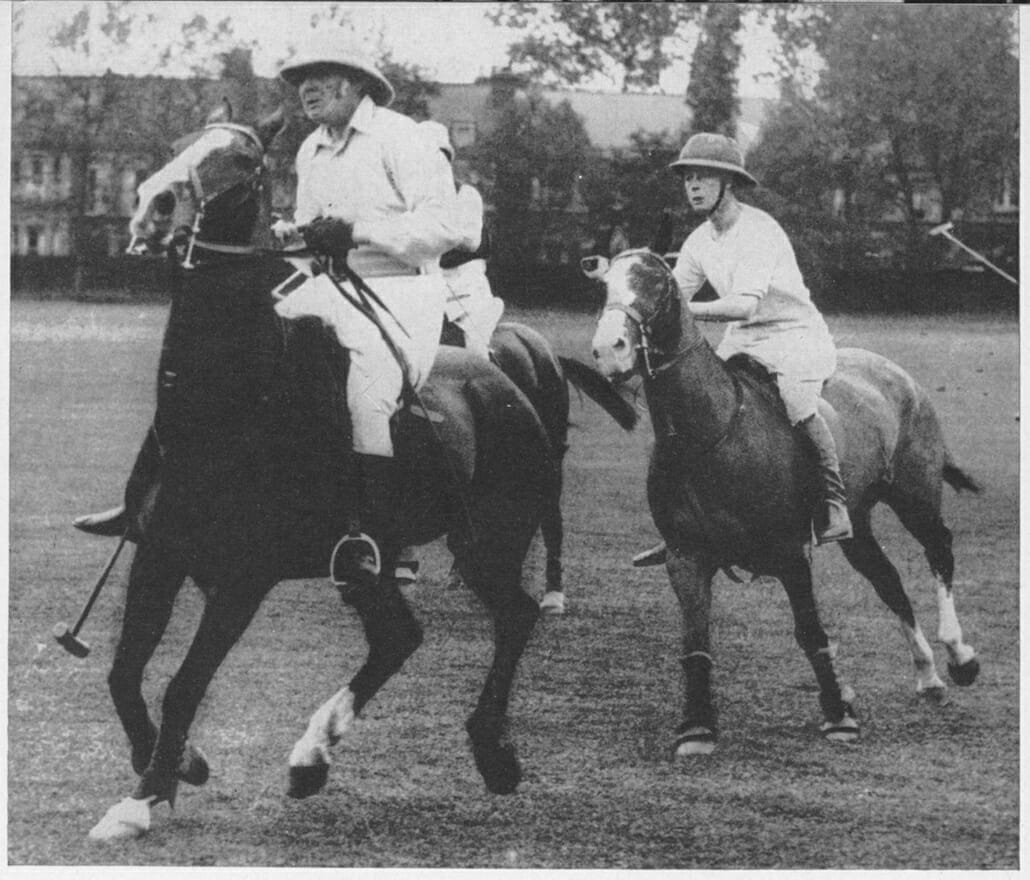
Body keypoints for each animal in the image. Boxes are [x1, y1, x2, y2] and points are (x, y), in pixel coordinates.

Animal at [84, 108, 618, 840]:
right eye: (180, 144)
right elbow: (123, 670)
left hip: (488, 537)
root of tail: (509, 379)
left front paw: (144, 796)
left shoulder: (245, 576)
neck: (225, 406)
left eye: (246, 161)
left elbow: (182, 683)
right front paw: (178, 764)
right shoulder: (160, 553)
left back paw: (492, 749)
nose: (154, 206)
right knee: (400, 635)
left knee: (516, 611)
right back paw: (312, 756)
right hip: (373, 556)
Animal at [589, 246, 980, 758]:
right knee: (887, 579)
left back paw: (959, 655)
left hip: (914, 494)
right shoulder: (685, 556)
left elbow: (811, 632)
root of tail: (898, 374)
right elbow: (695, 640)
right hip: (856, 519)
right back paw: (928, 674)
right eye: (603, 285)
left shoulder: (790, 553)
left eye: (657, 284)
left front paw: (839, 715)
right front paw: (696, 727)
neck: (708, 434)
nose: (608, 350)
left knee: (939, 550)